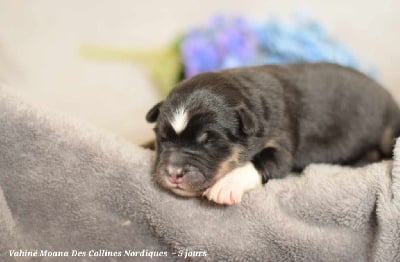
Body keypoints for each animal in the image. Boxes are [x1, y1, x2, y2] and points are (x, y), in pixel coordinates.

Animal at [146, 63, 400, 205]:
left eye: (209, 141)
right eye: (163, 139)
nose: (174, 173)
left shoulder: (281, 142)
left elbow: (258, 161)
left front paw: (226, 186)